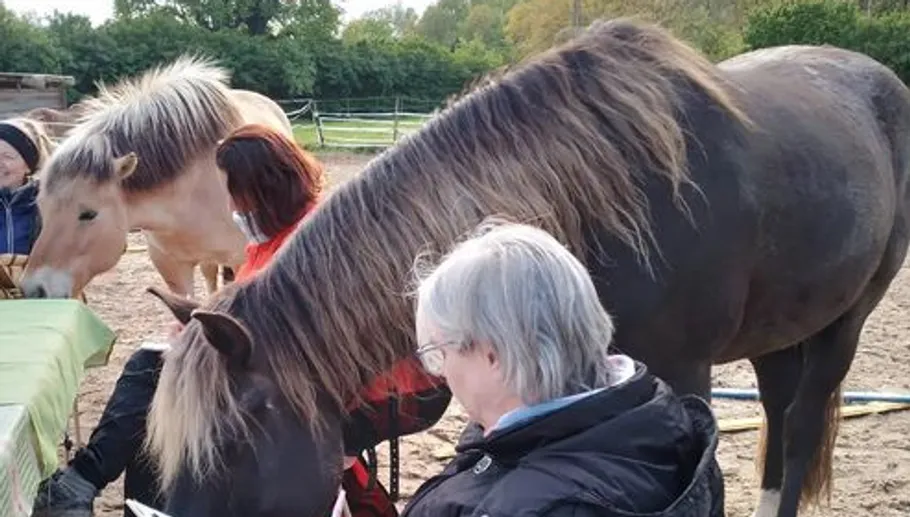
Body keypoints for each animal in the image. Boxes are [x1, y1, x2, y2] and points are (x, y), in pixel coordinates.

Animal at [18, 55, 292, 300]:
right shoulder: (171, 268)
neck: (193, 194)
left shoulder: (240, 259)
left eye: (88, 214)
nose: (35, 290)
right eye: (42, 209)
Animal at [144, 18, 910, 517]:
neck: (604, 196)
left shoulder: (685, 373)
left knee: (803, 421)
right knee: (779, 413)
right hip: (780, 326)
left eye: (228, 455)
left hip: (847, 319)